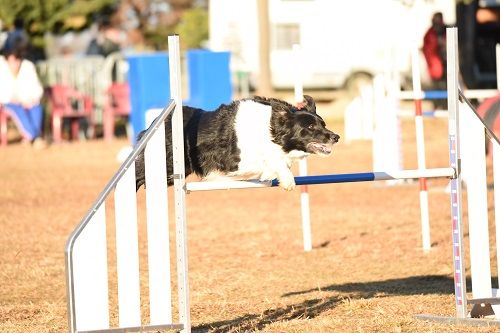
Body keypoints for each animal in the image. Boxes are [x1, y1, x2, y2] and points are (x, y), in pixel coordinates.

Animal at [135, 94, 340, 191]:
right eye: (310, 127)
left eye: (323, 124)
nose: (336, 137)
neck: (269, 128)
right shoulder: (235, 161)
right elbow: (273, 161)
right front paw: (287, 180)